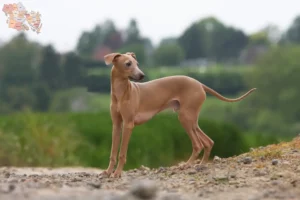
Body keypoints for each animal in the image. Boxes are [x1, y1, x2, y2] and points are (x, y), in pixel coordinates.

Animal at [101, 52, 255, 178]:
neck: (121, 93)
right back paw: (201, 164)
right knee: (208, 141)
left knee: (198, 144)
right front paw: (108, 172)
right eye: (128, 63)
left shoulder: (128, 125)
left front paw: (117, 173)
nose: (142, 75)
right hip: (191, 120)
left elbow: (122, 153)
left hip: (185, 118)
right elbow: (113, 152)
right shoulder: (117, 125)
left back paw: (187, 164)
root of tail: (199, 84)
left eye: (137, 63)